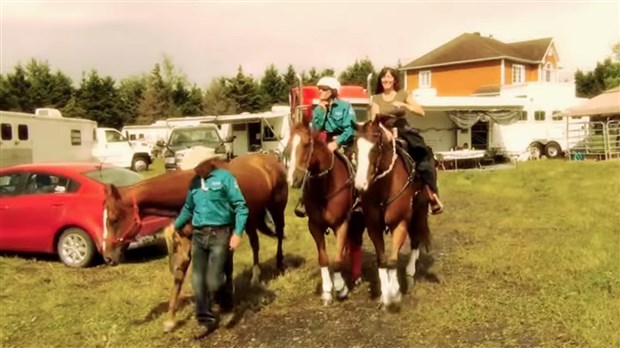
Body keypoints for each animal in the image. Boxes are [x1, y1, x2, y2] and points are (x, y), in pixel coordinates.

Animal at [101, 153, 288, 332]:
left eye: (114, 219)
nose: (108, 257)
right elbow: (180, 274)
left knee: (279, 234)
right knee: (255, 244)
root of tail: (271, 159)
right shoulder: (187, 242)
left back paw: (279, 265)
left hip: (276, 209)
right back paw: (255, 278)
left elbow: (224, 269)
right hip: (251, 218)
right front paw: (170, 320)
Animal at [286, 117, 366, 304]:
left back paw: (356, 277)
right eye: (289, 145)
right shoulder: (314, 226)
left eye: (306, 144)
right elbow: (324, 259)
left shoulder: (342, 223)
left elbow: (337, 259)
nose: (293, 179)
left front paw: (341, 289)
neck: (325, 187)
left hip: (358, 220)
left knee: (355, 245)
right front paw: (328, 291)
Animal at [352, 114, 434, 310]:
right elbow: (383, 261)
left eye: (376, 146)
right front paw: (385, 296)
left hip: (420, 211)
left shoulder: (400, 223)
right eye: (355, 146)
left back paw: (410, 275)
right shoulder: (374, 227)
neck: (384, 187)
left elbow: (393, 260)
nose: (360, 185)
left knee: (416, 240)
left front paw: (395, 293)